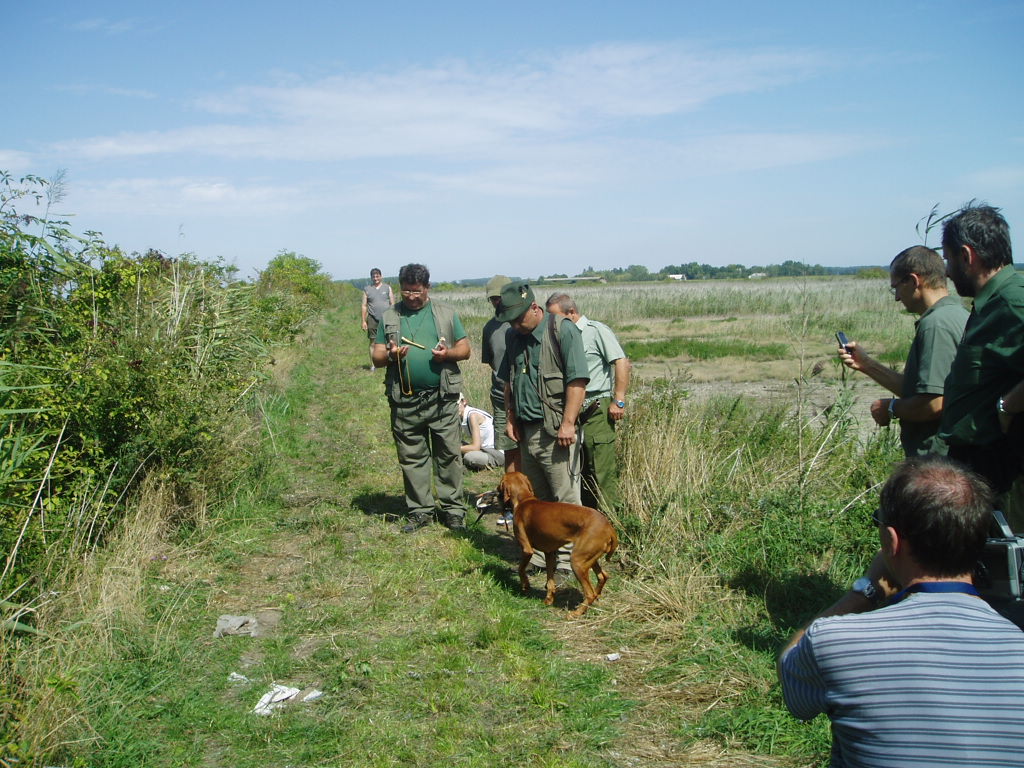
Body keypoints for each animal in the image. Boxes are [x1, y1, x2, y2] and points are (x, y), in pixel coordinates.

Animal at [495, 468, 614, 618]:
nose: (495, 493)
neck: (525, 500)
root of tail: (609, 527)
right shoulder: (549, 552)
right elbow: (550, 580)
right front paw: (549, 599)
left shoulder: (527, 549)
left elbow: (521, 569)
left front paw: (525, 585)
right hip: (589, 559)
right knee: (603, 576)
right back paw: (594, 600)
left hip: (577, 562)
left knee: (590, 592)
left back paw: (577, 613)